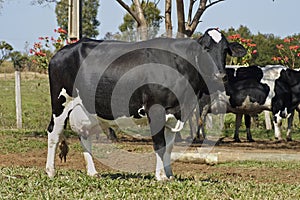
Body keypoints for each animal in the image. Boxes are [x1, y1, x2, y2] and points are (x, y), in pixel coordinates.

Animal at [45, 28, 246, 181]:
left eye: (226, 50)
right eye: (205, 48)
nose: (220, 76)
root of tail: (63, 51)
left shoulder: (177, 112)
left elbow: (170, 146)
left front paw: (169, 175)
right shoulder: (155, 109)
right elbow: (159, 144)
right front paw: (160, 176)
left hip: (86, 109)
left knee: (84, 135)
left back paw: (92, 172)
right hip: (60, 102)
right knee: (54, 132)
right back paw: (50, 171)